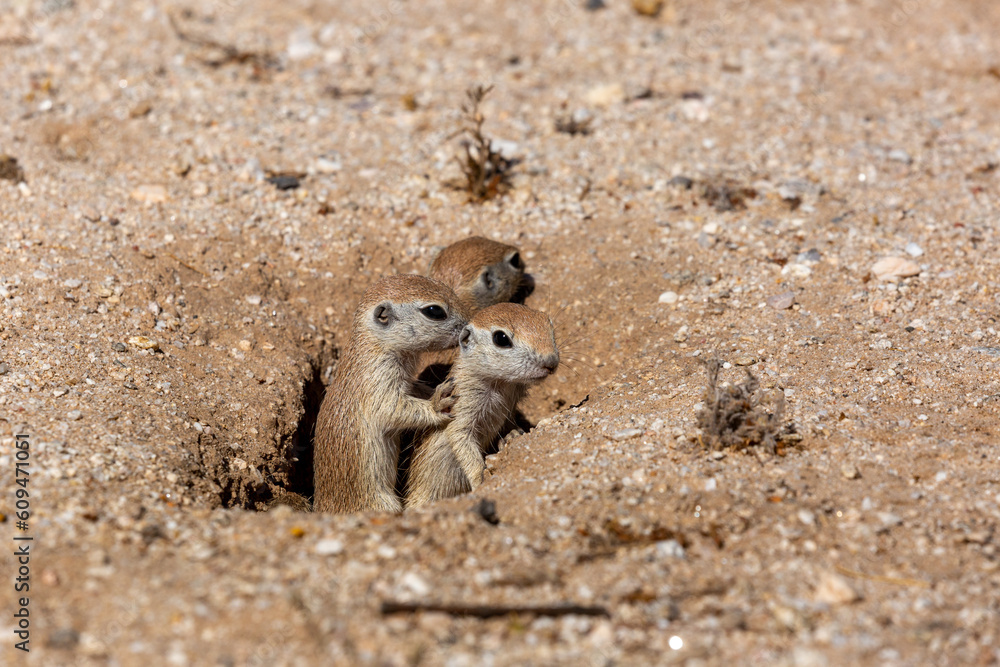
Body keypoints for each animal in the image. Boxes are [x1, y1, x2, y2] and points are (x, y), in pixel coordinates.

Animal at [312, 275, 469, 514]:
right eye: (434, 311)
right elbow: (392, 408)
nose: (469, 324)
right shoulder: (376, 380)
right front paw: (437, 404)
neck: (375, 344)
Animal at [405, 303, 559, 507]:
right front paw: (481, 477)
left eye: (549, 324)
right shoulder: (462, 404)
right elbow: (461, 438)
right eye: (501, 338)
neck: (501, 384)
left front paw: (512, 435)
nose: (551, 362)